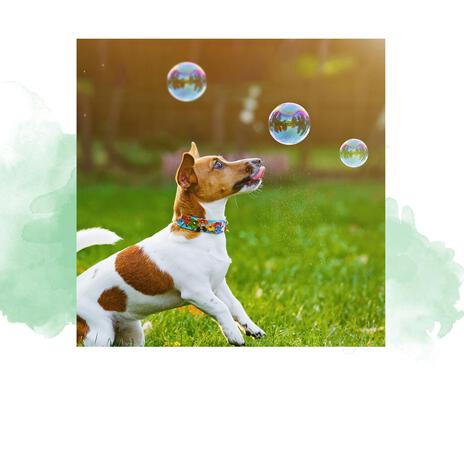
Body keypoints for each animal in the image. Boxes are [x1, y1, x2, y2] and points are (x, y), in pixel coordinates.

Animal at [77, 143, 266, 346]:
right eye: (218, 165)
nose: (258, 160)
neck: (201, 230)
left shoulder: (218, 285)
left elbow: (235, 305)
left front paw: (252, 328)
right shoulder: (197, 292)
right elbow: (222, 308)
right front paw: (234, 334)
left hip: (132, 333)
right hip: (100, 334)